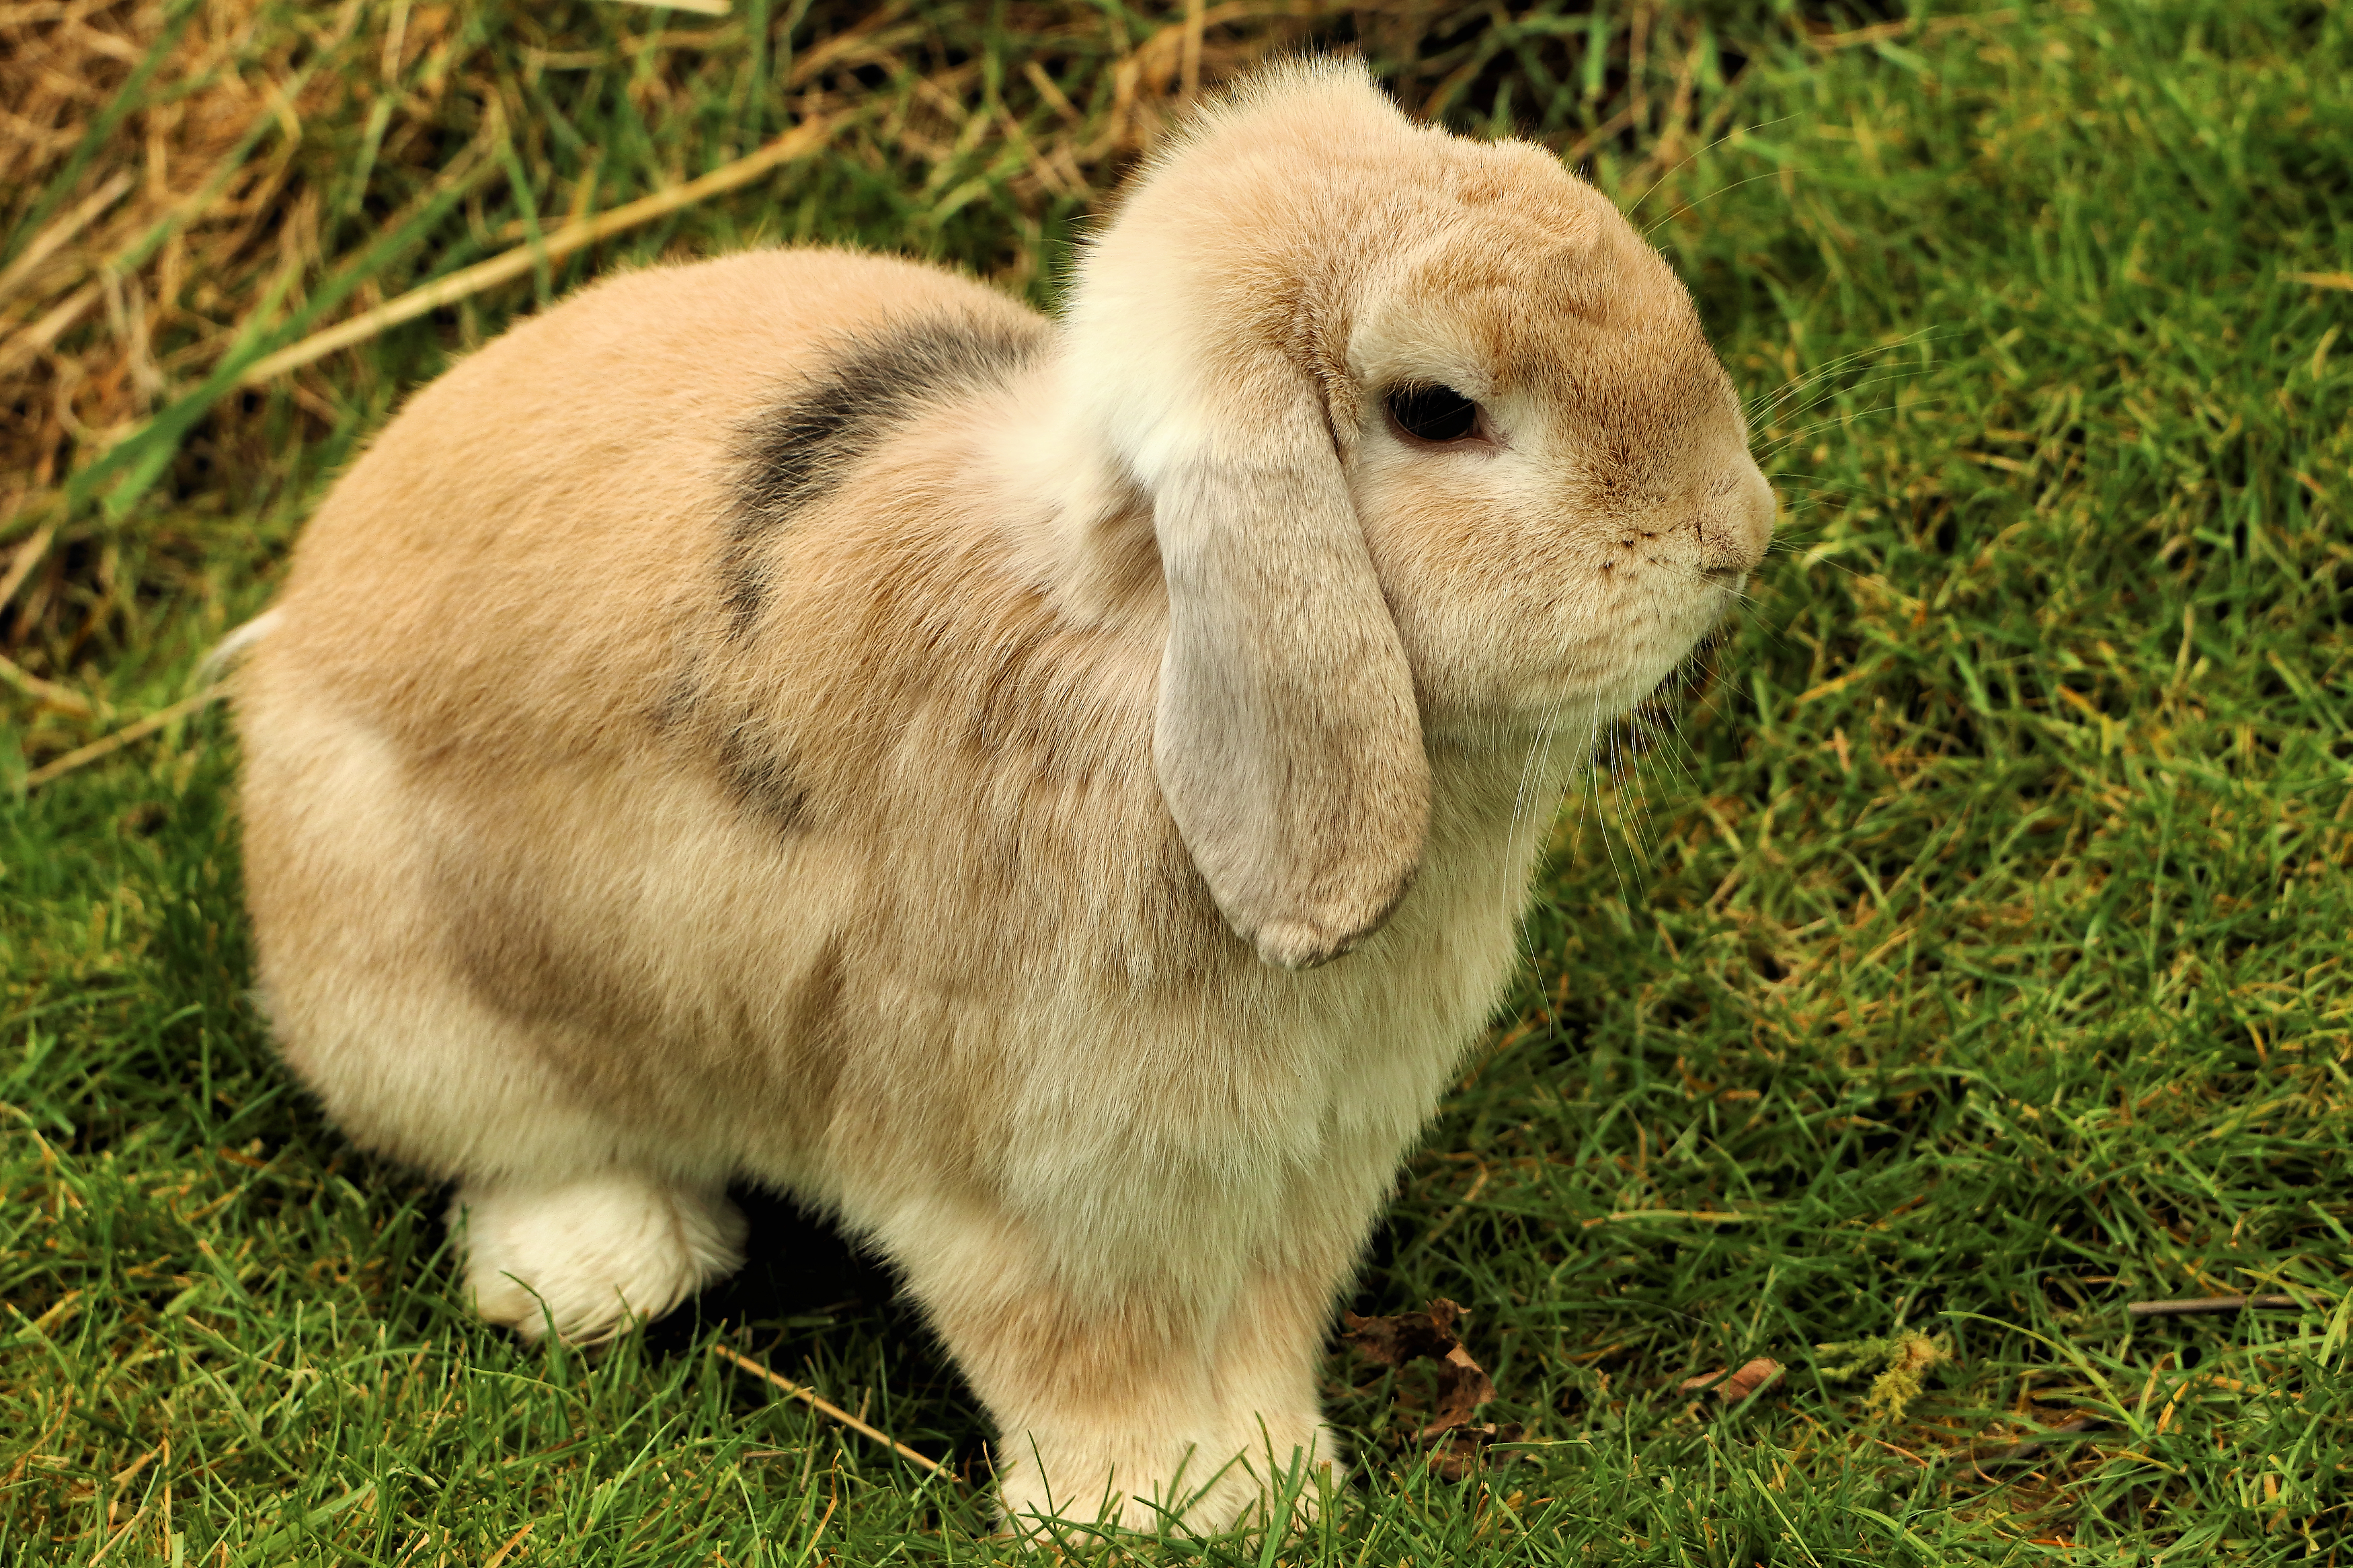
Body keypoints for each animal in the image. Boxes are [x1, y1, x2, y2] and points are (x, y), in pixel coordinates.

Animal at [230, 56, 1773, 1534]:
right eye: (1438, 411)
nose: (1736, 535)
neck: (1149, 651)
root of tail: (292, 623)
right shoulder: (1026, 1192)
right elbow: (1081, 1358)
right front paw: (1150, 1511)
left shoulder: (1303, 1167)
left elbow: (1259, 1331)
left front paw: (1279, 1480)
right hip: (425, 998)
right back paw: (610, 1270)